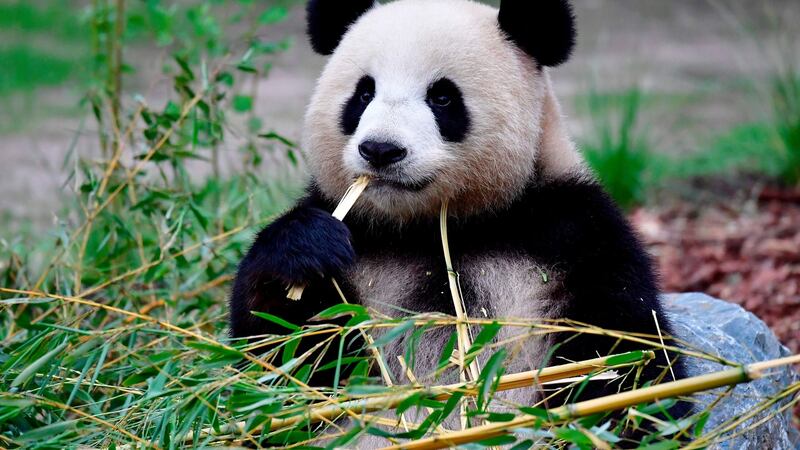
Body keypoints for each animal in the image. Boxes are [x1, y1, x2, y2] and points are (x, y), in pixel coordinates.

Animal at [231, 0, 688, 426]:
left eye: (442, 96)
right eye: (363, 94)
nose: (381, 149)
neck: (437, 227)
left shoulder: (573, 235)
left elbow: (625, 357)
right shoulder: (356, 237)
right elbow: (279, 365)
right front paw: (303, 249)